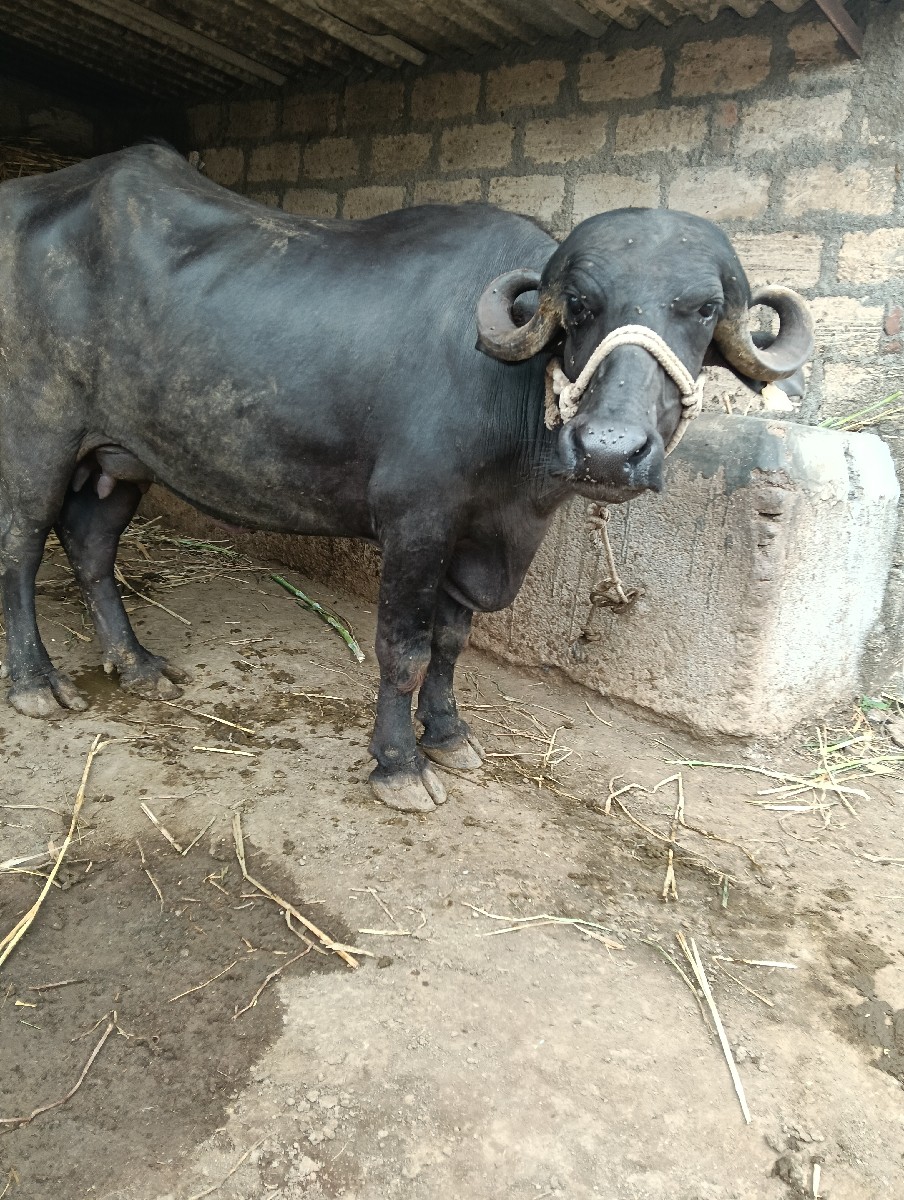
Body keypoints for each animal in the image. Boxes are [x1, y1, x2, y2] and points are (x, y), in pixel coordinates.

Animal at [0, 144, 813, 812]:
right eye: (581, 306)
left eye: (703, 310)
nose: (610, 450)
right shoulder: (417, 522)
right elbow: (406, 649)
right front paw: (397, 764)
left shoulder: (476, 532)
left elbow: (452, 643)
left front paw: (448, 736)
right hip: (39, 437)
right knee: (22, 546)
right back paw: (36, 683)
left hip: (121, 455)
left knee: (91, 545)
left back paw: (134, 663)